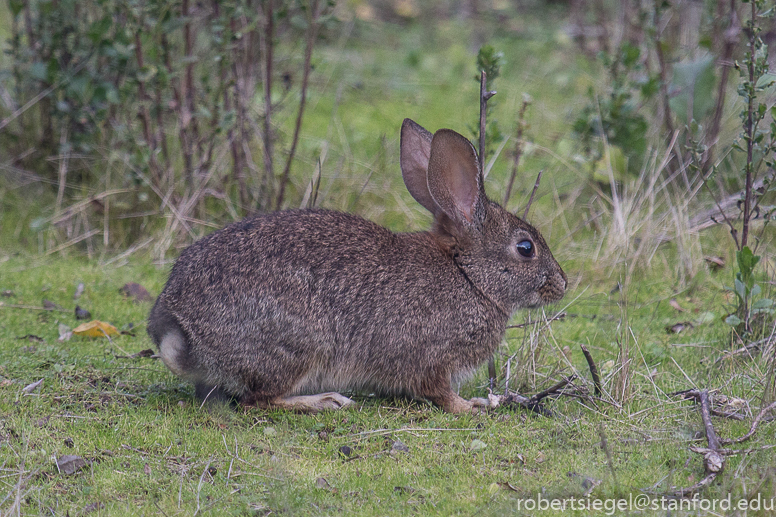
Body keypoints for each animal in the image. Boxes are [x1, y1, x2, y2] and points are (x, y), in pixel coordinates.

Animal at [149, 119, 568, 414]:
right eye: (526, 248)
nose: (562, 283)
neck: (468, 275)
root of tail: (179, 328)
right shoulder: (431, 358)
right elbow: (440, 393)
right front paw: (472, 406)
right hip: (297, 344)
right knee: (260, 400)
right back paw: (325, 401)